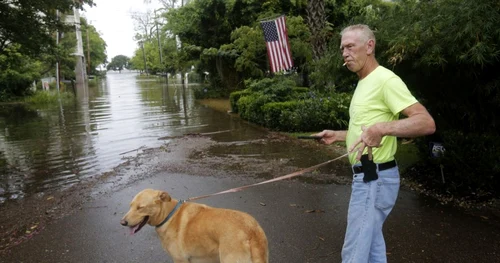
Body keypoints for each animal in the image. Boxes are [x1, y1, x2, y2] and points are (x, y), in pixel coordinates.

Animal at [120, 189, 270, 262]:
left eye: (140, 208)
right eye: (130, 206)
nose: (122, 223)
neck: (169, 215)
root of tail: (251, 229)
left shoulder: (180, 260)